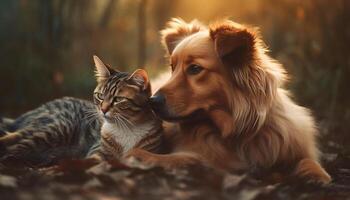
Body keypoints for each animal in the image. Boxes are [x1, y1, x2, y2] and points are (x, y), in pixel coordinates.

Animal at [0, 55, 163, 166]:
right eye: (100, 96)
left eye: (118, 99)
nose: (103, 110)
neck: (126, 128)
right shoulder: (97, 150)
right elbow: (93, 160)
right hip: (59, 126)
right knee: (14, 141)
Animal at [127, 18, 332, 184]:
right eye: (172, 67)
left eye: (195, 68)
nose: (152, 101)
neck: (238, 134)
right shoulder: (198, 155)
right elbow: (177, 158)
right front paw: (135, 155)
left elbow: (309, 161)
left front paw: (318, 176)